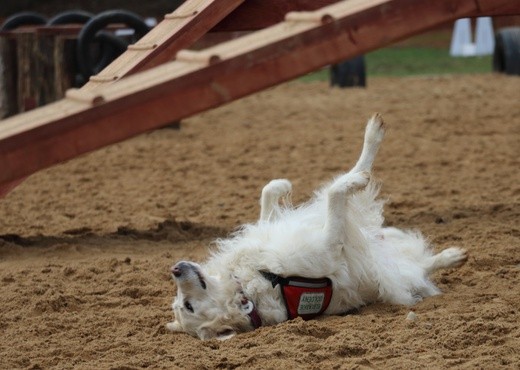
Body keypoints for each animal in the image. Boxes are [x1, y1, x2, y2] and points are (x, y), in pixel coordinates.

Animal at [167, 113, 468, 342]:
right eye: (187, 306)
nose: (175, 269)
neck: (252, 281)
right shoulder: (329, 245)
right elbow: (336, 190)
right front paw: (356, 177)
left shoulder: (278, 229)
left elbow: (268, 196)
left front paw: (282, 185)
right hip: (394, 270)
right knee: (421, 268)